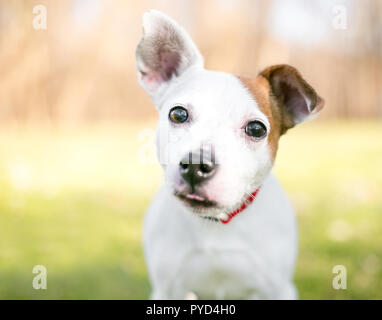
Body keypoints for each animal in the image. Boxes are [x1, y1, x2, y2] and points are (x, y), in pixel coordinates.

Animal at [136, 10, 324, 300]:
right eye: (178, 114)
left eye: (256, 129)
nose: (196, 165)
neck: (217, 222)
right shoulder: (167, 291)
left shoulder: (279, 289)